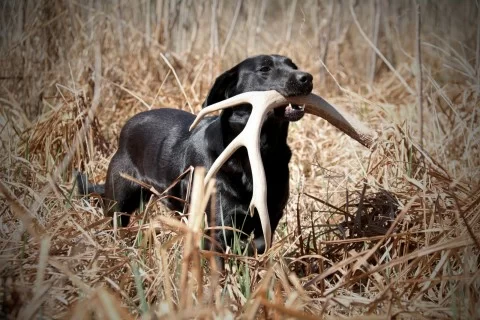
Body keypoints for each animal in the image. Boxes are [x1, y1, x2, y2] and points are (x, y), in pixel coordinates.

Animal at [79, 53, 312, 256]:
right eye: (264, 69)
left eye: (293, 65)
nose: (307, 78)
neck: (257, 151)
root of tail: (128, 125)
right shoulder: (218, 224)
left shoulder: (271, 217)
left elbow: (260, 242)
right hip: (118, 204)